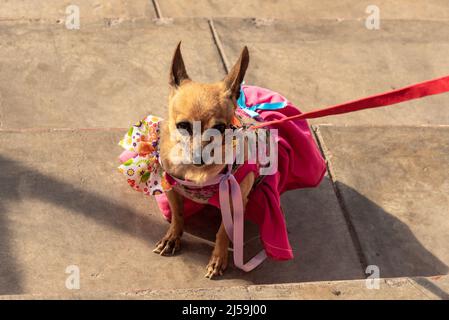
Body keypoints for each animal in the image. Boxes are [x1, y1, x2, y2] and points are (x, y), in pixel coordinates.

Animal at [153, 42, 252, 278]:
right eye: (183, 126)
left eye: (221, 128)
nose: (199, 156)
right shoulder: (171, 188)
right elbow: (178, 214)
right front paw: (173, 237)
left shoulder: (234, 201)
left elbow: (223, 231)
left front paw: (219, 258)